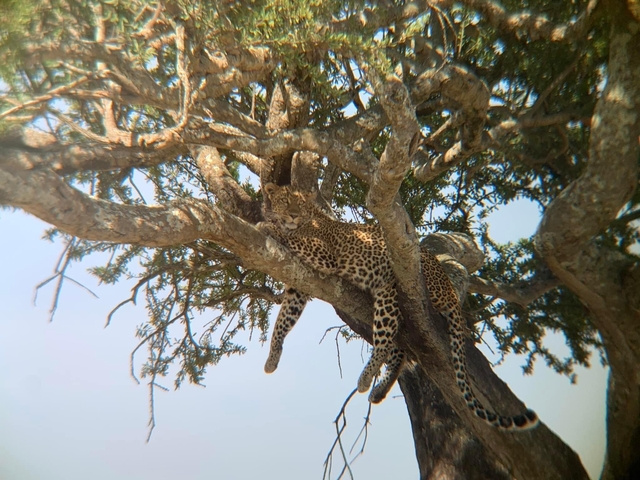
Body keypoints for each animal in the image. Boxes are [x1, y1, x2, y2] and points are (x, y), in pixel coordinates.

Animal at [261, 183, 539, 431]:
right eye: (285, 201)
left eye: (299, 204)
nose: (293, 214)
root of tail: (447, 286)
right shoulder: (299, 286)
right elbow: (282, 322)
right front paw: (272, 359)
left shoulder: (324, 254)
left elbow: (291, 238)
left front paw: (267, 226)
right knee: (399, 348)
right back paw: (379, 389)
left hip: (391, 291)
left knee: (387, 344)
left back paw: (365, 380)